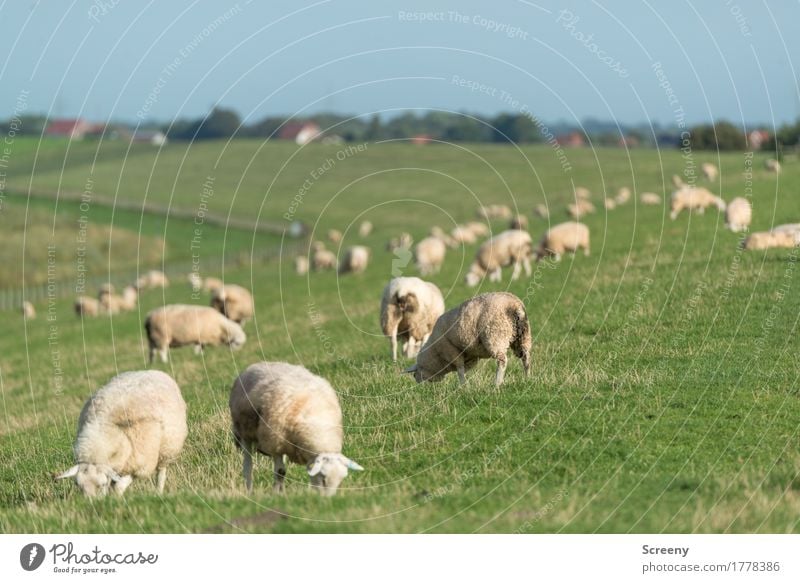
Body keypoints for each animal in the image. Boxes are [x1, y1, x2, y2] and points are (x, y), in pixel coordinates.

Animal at [55, 372, 188, 500]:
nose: (91, 503)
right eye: (78, 485)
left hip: (167, 448)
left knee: (161, 473)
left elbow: (119, 486)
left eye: (102, 484)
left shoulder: (138, 464)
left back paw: (158, 492)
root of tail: (156, 371)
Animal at [230, 362, 364, 496]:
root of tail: (258, 364)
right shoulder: (274, 443)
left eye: (340, 481)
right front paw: (275, 495)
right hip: (244, 432)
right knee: (248, 465)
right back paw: (249, 490)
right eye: (323, 479)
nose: (328, 499)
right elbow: (280, 472)